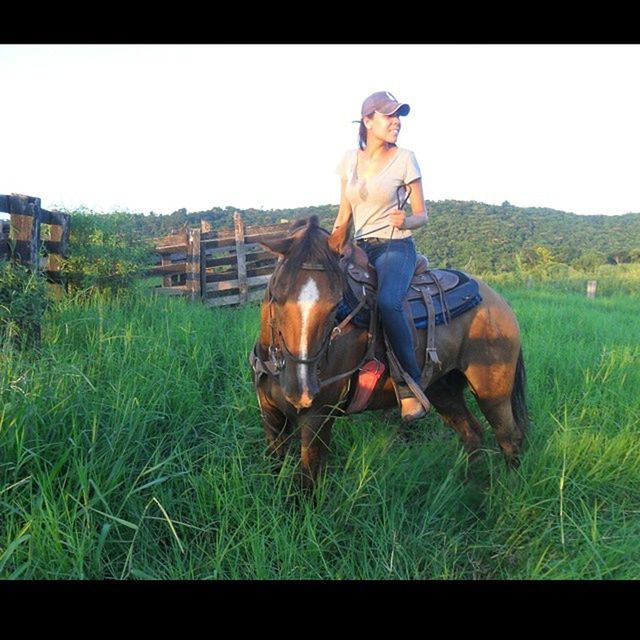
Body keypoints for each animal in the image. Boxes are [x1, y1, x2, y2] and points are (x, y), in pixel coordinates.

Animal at [251, 218, 528, 488]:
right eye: (276, 297)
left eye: (335, 305)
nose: (301, 392)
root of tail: (497, 300)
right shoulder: (271, 416)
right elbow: (274, 474)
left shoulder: (317, 419)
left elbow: (306, 485)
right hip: (443, 390)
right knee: (472, 433)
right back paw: (467, 485)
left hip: (492, 392)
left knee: (509, 438)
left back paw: (509, 491)